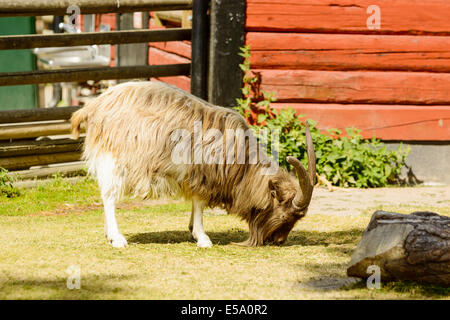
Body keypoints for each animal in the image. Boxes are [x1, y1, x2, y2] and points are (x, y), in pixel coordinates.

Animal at [71, 81, 316, 249]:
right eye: (285, 215)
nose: (279, 241)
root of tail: (93, 107)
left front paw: (192, 231)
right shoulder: (199, 173)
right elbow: (199, 203)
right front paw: (203, 237)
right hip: (114, 158)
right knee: (109, 196)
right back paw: (117, 238)